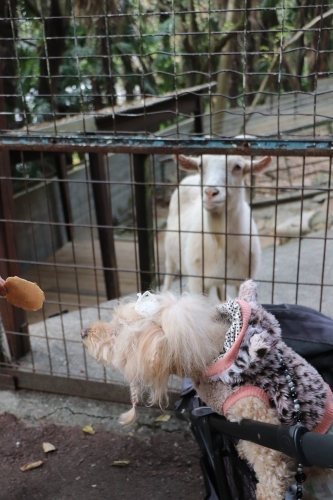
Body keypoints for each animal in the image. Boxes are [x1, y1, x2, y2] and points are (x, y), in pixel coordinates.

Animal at [162, 154, 272, 298]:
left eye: (238, 167)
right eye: (200, 165)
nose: (210, 192)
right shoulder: (197, 282)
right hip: (170, 254)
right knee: (168, 275)